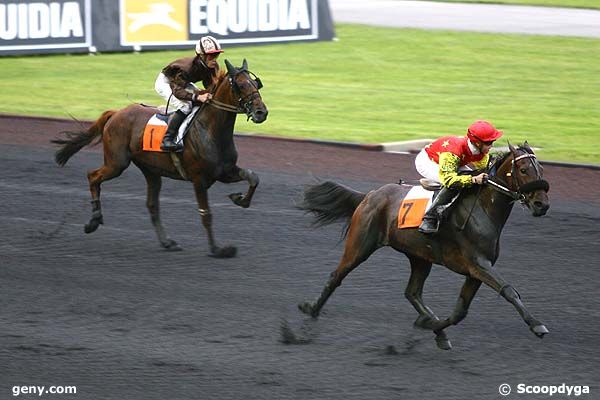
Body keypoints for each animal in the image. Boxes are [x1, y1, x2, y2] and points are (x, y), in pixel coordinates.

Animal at [54, 59, 270, 260]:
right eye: (240, 85)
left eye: (255, 83)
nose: (262, 112)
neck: (210, 130)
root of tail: (116, 113)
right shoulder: (199, 180)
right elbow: (206, 214)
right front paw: (218, 249)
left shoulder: (225, 171)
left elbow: (253, 177)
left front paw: (239, 199)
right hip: (116, 163)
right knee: (93, 176)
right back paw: (94, 221)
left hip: (151, 170)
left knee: (152, 205)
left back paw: (166, 242)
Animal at [298, 144, 552, 350]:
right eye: (523, 170)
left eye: (540, 168)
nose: (542, 205)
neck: (482, 208)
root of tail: (370, 194)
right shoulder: (478, 264)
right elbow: (509, 291)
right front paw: (537, 325)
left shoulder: (476, 271)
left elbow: (460, 312)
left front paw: (433, 326)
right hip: (361, 245)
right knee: (337, 275)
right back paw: (311, 309)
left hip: (420, 257)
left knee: (412, 293)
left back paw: (434, 327)